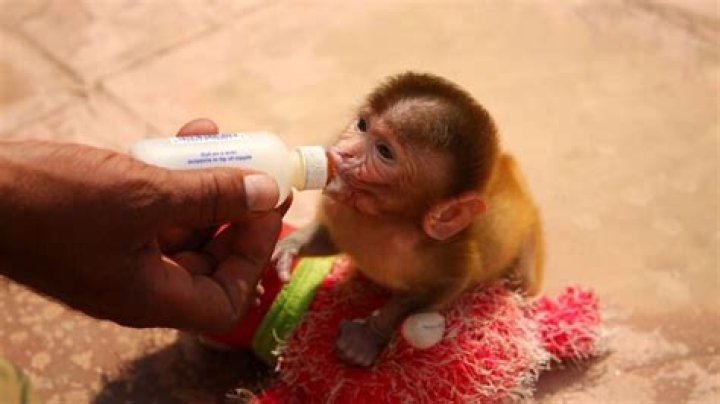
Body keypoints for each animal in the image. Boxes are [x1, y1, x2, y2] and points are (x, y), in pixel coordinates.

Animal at [272, 72, 544, 368]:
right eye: (362, 125)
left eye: (384, 151)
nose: (344, 152)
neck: (383, 218)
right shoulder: (338, 208)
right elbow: (328, 236)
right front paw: (287, 248)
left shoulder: (444, 252)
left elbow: (437, 290)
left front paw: (367, 336)